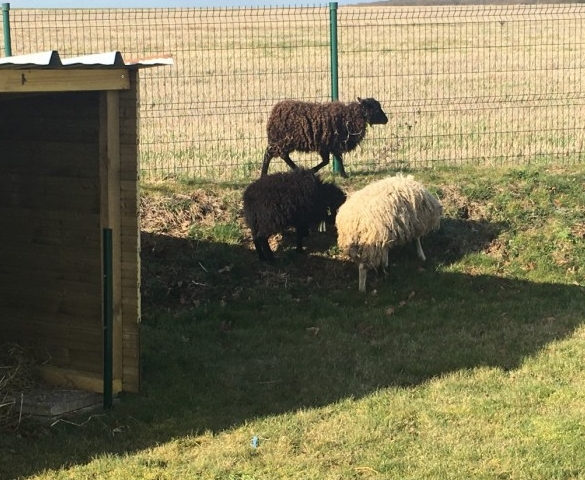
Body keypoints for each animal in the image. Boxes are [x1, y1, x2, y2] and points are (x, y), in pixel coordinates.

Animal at [260, 97, 388, 178]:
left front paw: (342, 174)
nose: (386, 120)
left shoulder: (328, 145)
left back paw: (294, 169)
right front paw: (344, 175)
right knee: (271, 153)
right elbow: (334, 160)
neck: (351, 116)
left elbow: (329, 160)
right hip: (284, 140)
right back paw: (265, 174)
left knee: (281, 155)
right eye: (376, 109)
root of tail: (273, 113)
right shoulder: (333, 143)